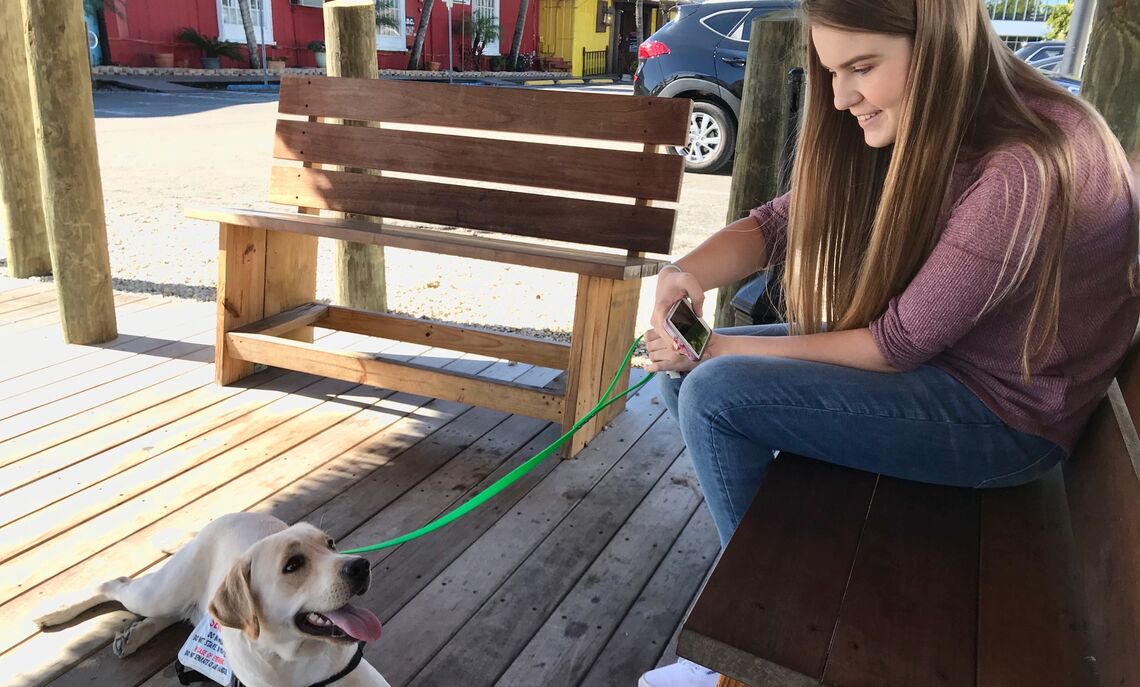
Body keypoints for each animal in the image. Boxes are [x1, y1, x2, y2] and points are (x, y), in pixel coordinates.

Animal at [33, 512, 389, 683]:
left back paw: (133, 635)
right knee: (116, 584)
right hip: (157, 593)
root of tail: (227, 516)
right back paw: (56, 611)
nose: (360, 565)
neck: (296, 661)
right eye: (292, 565)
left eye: (331, 544)